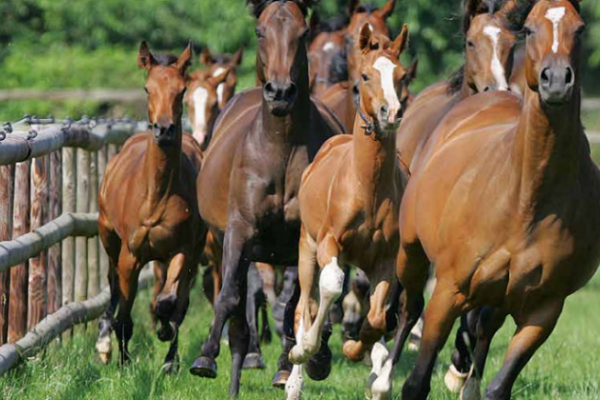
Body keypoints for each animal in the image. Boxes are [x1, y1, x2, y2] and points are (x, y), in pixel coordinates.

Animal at [95, 42, 205, 374]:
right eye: (147, 88)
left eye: (182, 90)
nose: (165, 130)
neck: (157, 196)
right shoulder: (130, 256)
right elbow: (125, 311)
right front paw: (123, 361)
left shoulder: (183, 251)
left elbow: (169, 301)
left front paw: (165, 341)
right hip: (108, 237)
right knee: (113, 285)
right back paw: (105, 343)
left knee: (178, 301)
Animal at [190, 0, 344, 394]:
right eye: (261, 31)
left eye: (303, 33)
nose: (280, 92)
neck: (281, 146)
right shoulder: (240, 231)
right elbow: (230, 296)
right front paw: (206, 357)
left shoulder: (304, 238)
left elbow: (298, 305)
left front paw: (300, 363)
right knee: (239, 312)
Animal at [288, 25, 412, 400]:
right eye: (366, 75)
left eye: (402, 75)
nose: (390, 112)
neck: (366, 187)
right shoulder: (330, 243)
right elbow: (330, 287)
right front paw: (308, 350)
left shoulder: (385, 259)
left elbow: (377, 318)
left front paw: (356, 351)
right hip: (307, 248)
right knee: (304, 305)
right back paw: (295, 376)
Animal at [376, 3, 596, 400]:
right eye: (530, 29)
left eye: (581, 28)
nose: (556, 80)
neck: (525, 200)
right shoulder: (449, 289)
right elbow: (417, 380)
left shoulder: (544, 309)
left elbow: (498, 382)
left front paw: (466, 378)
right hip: (412, 251)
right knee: (409, 306)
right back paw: (381, 378)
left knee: (483, 326)